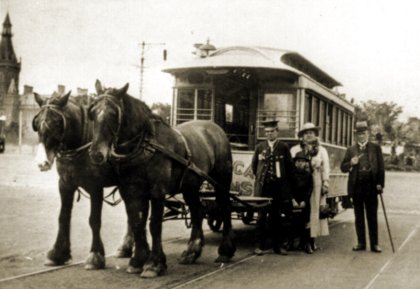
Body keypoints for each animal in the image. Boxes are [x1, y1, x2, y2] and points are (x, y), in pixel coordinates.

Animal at [32, 91, 134, 268]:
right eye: (37, 123)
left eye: (57, 122)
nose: (42, 162)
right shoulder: (65, 184)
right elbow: (63, 217)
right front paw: (58, 253)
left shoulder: (95, 187)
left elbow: (94, 220)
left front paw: (95, 255)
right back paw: (126, 247)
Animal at [88, 80, 236, 276]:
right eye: (92, 112)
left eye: (114, 114)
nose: (96, 154)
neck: (144, 145)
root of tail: (215, 127)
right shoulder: (130, 191)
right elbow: (137, 222)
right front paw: (137, 260)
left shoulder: (157, 191)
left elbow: (154, 224)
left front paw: (154, 264)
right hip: (190, 187)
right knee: (197, 211)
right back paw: (192, 251)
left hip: (221, 181)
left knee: (225, 207)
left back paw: (225, 250)